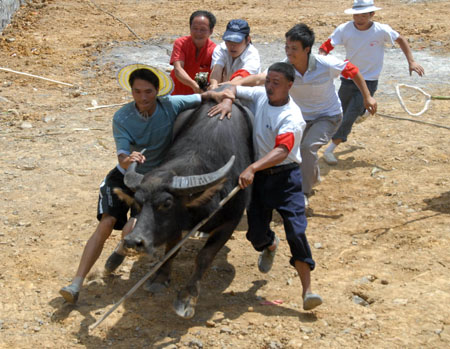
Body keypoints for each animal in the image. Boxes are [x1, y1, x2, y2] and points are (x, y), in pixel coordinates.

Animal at [120, 98, 253, 318]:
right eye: (137, 201)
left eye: (166, 203)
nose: (133, 241)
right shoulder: (174, 226)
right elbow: (171, 250)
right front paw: (159, 278)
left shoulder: (231, 221)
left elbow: (204, 257)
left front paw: (188, 297)